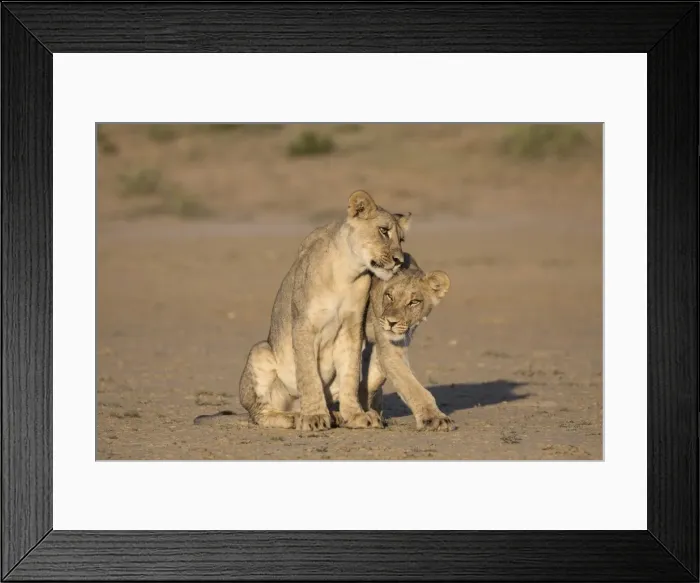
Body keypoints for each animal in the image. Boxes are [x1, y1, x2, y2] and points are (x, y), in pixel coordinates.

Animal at [239, 190, 411, 432]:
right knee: (259, 413)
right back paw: (294, 417)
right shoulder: (304, 325)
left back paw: (335, 415)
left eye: (401, 239)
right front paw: (313, 416)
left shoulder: (352, 328)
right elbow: (308, 374)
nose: (399, 261)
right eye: (383, 231)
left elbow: (350, 373)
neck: (347, 273)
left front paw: (356, 416)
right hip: (260, 352)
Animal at [357, 252, 455, 431]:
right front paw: (434, 418)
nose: (391, 322)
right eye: (389, 296)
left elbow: (374, 376)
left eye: (414, 302)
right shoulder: (388, 347)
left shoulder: (394, 342)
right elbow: (410, 384)